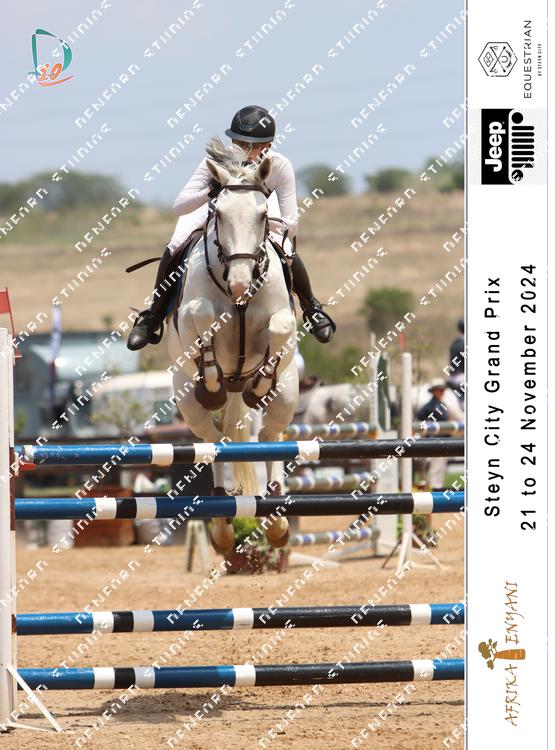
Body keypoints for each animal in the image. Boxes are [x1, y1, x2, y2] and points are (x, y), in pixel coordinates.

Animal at [166, 139, 299, 555]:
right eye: (219, 214)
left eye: (263, 215)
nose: (240, 284)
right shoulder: (193, 312)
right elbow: (203, 313)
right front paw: (211, 378)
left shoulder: (280, 319)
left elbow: (280, 326)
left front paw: (261, 381)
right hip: (187, 401)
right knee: (214, 443)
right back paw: (224, 525)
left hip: (288, 395)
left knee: (270, 440)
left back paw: (277, 519)